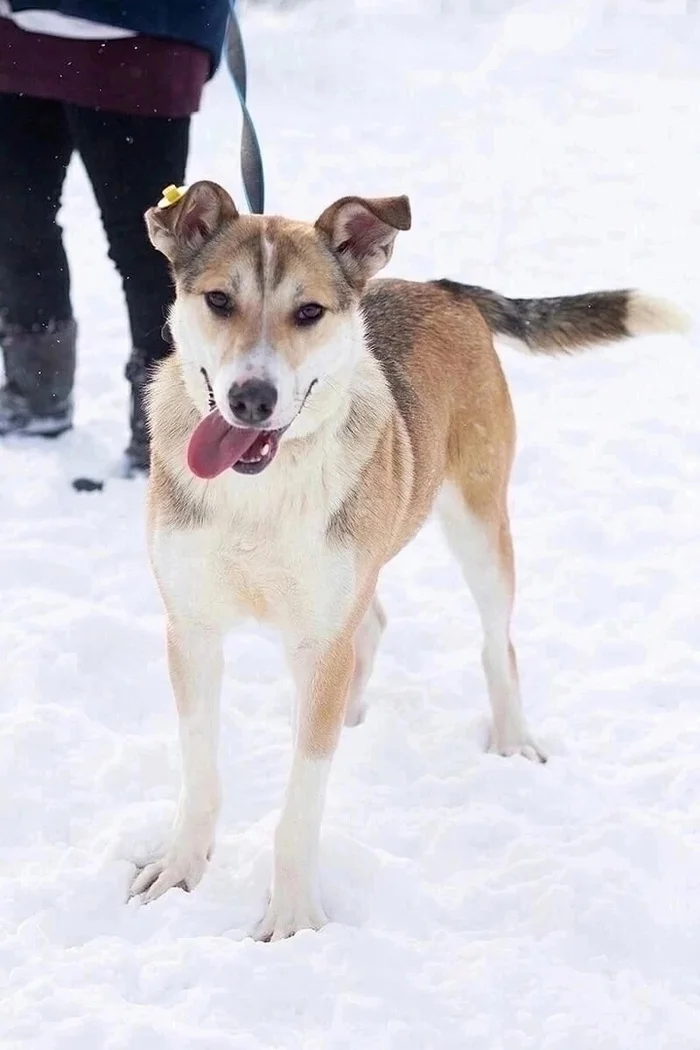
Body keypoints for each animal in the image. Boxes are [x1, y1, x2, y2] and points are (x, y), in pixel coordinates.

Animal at [132, 176, 688, 940]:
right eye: (219, 300)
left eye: (309, 311)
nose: (251, 399)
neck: (260, 494)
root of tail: (440, 287)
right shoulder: (191, 629)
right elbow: (199, 771)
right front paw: (180, 870)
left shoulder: (320, 640)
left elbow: (300, 805)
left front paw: (294, 920)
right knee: (373, 627)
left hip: (479, 526)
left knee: (496, 643)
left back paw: (511, 741)